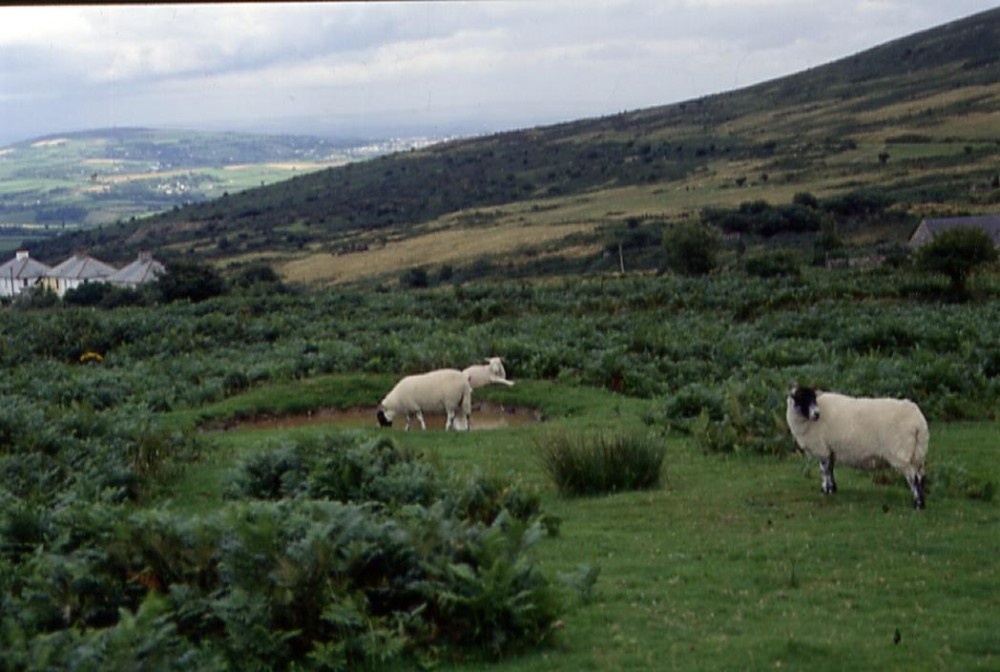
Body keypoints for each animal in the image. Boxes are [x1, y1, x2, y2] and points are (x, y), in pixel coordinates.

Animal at [780, 386, 928, 506]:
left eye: (813, 399)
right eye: (802, 399)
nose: (817, 414)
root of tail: (919, 422)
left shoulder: (822, 448)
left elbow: (824, 471)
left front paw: (825, 490)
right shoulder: (830, 449)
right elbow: (830, 470)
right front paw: (832, 489)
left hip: (901, 453)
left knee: (913, 478)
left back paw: (918, 505)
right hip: (917, 454)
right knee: (920, 477)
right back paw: (921, 501)